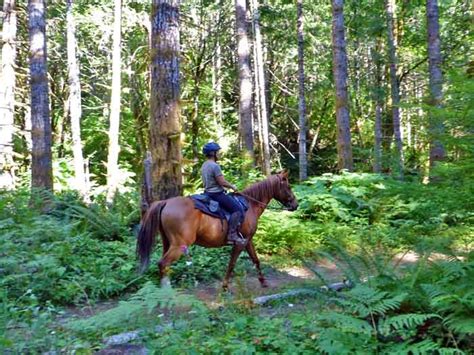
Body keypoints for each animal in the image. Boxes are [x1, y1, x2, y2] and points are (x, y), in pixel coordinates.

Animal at [137, 171, 298, 290]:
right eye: (289, 186)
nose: (295, 205)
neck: (250, 205)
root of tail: (165, 202)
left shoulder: (247, 240)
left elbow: (256, 260)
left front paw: (263, 282)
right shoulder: (240, 243)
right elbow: (232, 264)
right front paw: (225, 286)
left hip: (168, 243)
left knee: (163, 265)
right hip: (179, 245)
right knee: (163, 264)